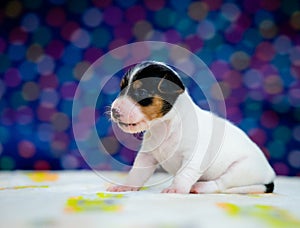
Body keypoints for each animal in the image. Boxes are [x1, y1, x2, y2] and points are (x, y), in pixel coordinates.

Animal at [106, 61, 276, 194]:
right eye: (121, 89)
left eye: (141, 92)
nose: (114, 110)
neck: (165, 126)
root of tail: (270, 177)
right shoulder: (147, 156)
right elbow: (137, 173)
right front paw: (125, 186)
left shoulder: (194, 158)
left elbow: (183, 175)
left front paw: (175, 189)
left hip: (240, 170)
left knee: (221, 183)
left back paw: (200, 187)